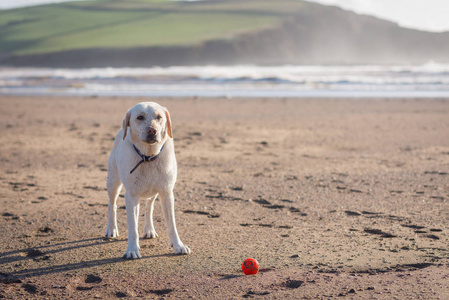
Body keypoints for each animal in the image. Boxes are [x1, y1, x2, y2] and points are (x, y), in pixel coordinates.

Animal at [105, 101, 189, 258]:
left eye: (159, 117)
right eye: (139, 117)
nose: (152, 130)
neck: (148, 157)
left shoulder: (167, 193)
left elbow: (172, 224)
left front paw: (178, 245)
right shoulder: (131, 196)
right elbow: (132, 227)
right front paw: (132, 249)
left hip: (154, 190)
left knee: (149, 206)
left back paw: (149, 229)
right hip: (113, 181)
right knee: (112, 204)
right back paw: (111, 229)